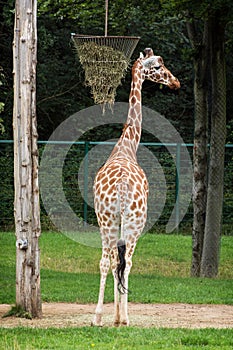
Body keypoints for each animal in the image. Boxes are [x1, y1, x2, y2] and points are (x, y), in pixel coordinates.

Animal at [92, 47, 179, 326]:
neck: (127, 146)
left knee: (106, 261)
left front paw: (113, 315)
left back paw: (98, 317)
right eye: (159, 66)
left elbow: (112, 263)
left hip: (106, 218)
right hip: (135, 220)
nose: (176, 82)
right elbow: (124, 263)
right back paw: (125, 318)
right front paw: (120, 316)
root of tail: (120, 187)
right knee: (127, 261)